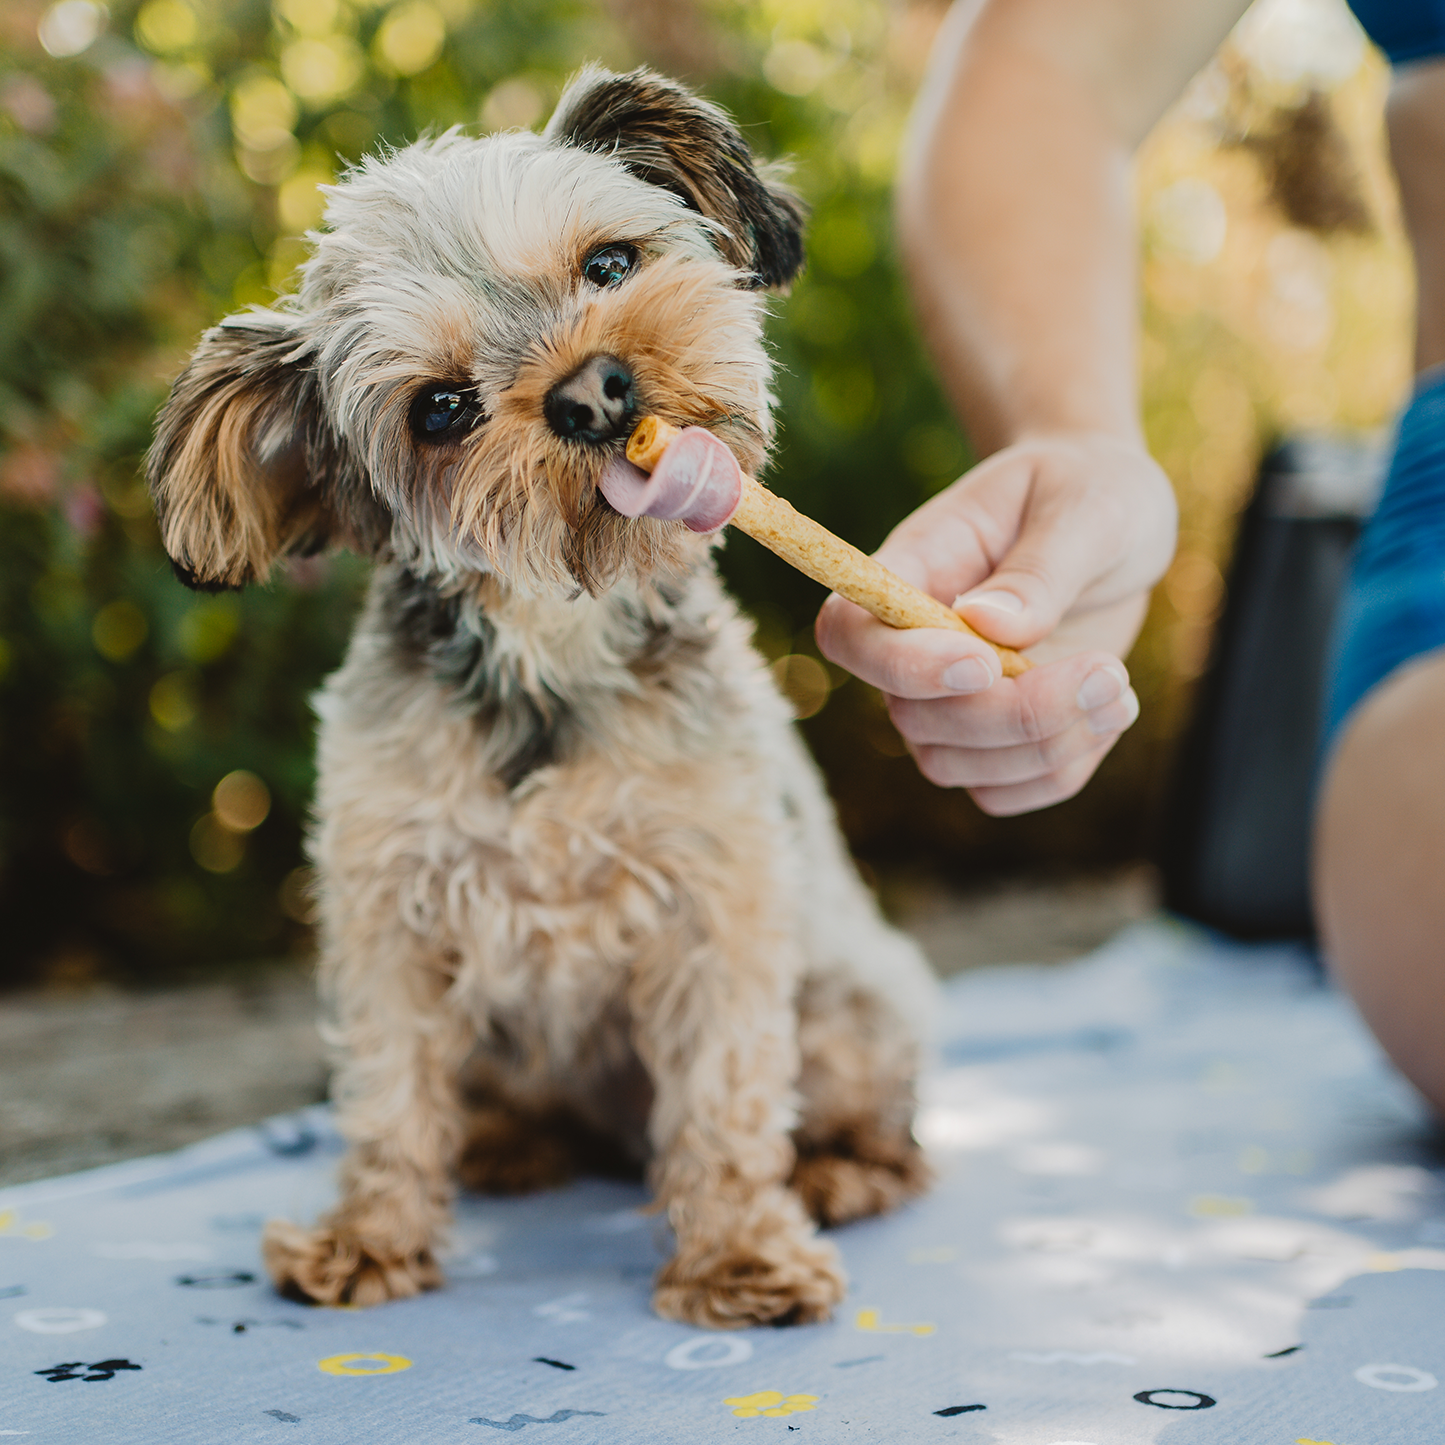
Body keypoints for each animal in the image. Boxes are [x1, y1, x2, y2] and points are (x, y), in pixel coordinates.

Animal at [149, 67, 936, 1329]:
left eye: (608, 264)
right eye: (437, 410)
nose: (593, 393)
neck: (551, 642)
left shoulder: (714, 905)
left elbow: (723, 1098)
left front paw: (738, 1255)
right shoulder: (387, 913)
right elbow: (387, 1095)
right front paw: (370, 1238)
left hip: (852, 999)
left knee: (882, 1126)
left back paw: (841, 1169)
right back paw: (505, 1144)